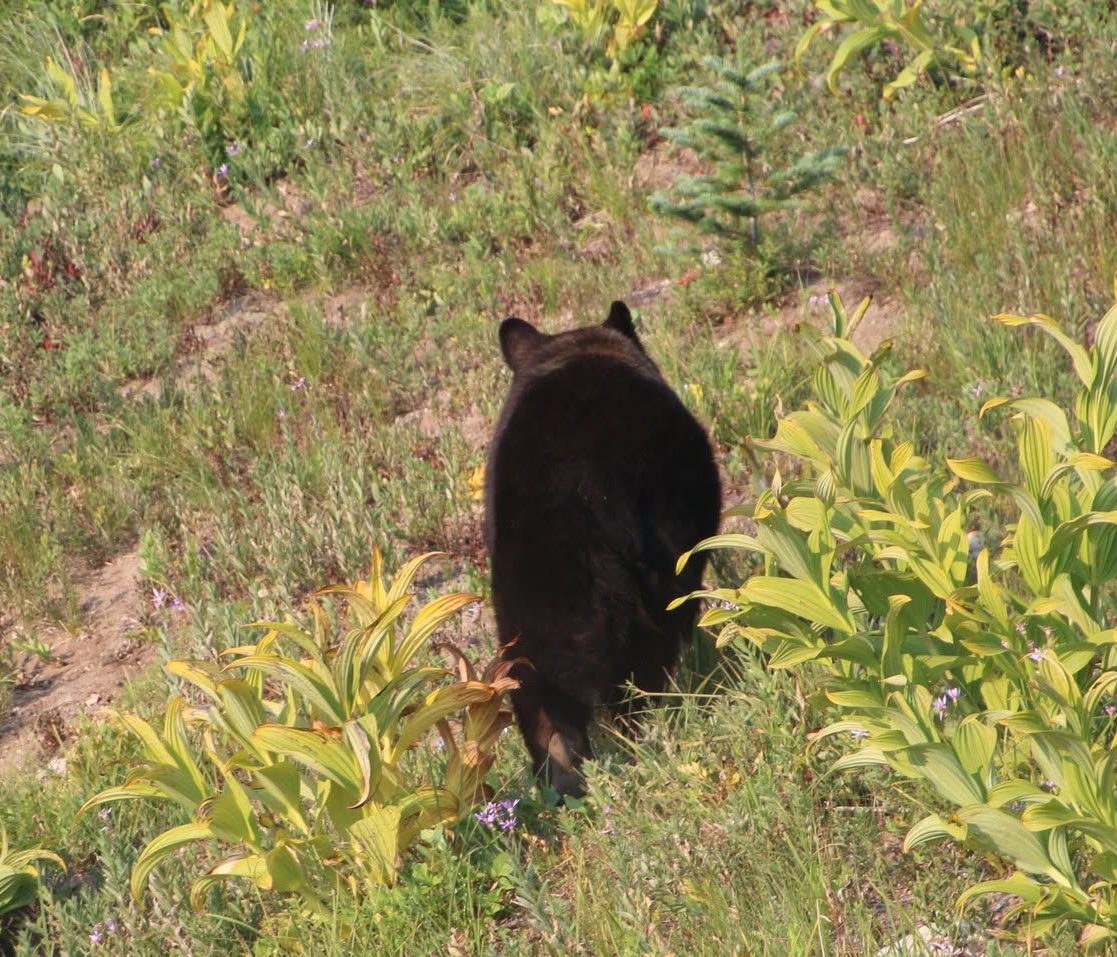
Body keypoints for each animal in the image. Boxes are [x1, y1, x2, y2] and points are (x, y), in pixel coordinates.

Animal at [485, 300, 721, 797]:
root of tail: (580, 495)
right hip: (647, 570)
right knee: (647, 659)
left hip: (528, 600)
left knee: (537, 698)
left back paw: (562, 780)